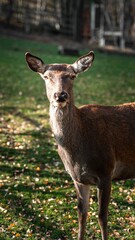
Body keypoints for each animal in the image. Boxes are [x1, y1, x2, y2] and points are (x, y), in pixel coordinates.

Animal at [25, 51, 135, 240]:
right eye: (46, 76)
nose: (60, 95)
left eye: (72, 76)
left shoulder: (106, 171)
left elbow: (102, 216)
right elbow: (81, 214)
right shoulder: (77, 178)